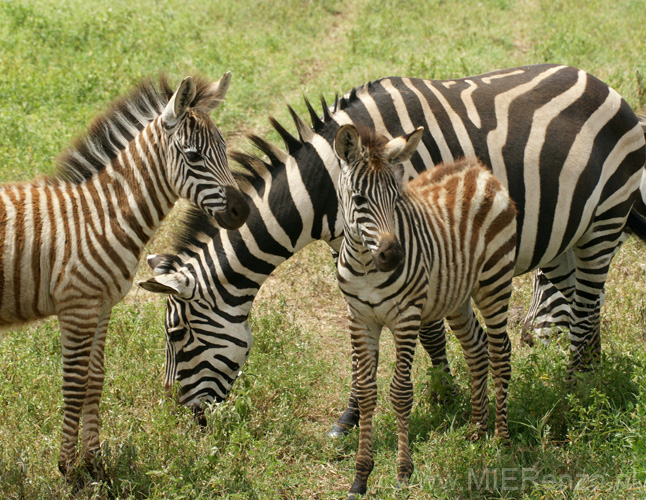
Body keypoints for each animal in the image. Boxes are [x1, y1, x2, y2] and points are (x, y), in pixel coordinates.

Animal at [0, 71, 249, 480]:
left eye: (225, 150)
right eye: (194, 156)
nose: (242, 211)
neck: (101, 218)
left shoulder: (101, 307)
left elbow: (94, 379)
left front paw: (95, 463)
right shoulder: (78, 307)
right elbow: (74, 383)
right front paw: (68, 471)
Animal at [140, 64, 646, 430]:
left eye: (176, 335)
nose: (180, 417)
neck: (329, 185)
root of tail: (603, 85)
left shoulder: (419, 240)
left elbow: (428, 330)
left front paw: (444, 395)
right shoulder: (349, 249)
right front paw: (353, 416)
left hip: (603, 222)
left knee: (586, 309)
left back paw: (574, 396)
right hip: (568, 237)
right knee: (583, 303)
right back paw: (592, 379)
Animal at [336, 123, 520, 498]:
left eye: (396, 198)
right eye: (359, 200)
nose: (393, 256)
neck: (366, 266)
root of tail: (479, 169)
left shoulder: (406, 317)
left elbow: (400, 393)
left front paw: (403, 472)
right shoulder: (360, 319)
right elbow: (366, 393)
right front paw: (360, 478)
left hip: (494, 281)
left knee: (500, 352)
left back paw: (501, 439)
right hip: (457, 296)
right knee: (476, 349)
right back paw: (477, 431)